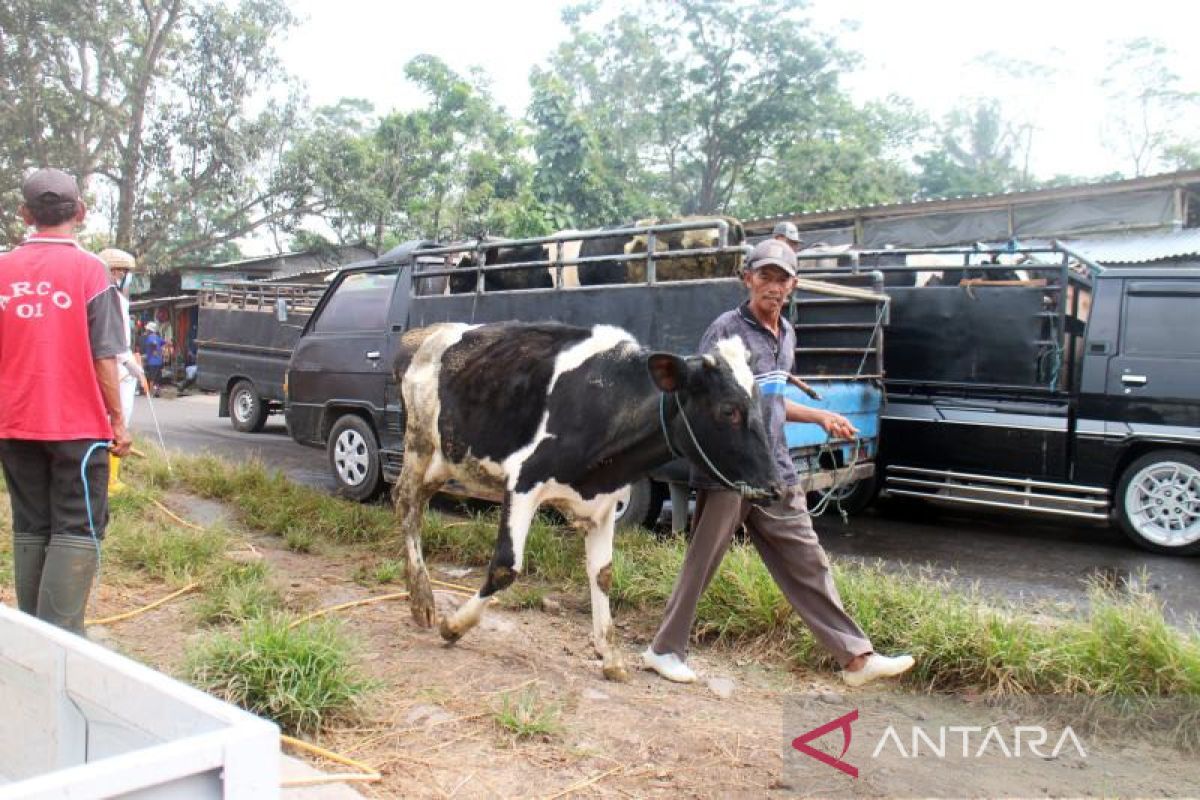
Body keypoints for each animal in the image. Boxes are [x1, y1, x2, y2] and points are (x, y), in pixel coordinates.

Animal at [393, 321, 777, 681]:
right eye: (729, 411)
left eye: (761, 405)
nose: (776, 486)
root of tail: (425, 333)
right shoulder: (524, 481)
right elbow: (505, 567)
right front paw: (455, 626)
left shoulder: (604, 505)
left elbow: (603, 574)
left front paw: (610, 656)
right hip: (419, 443)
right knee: (407, 504)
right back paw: (423, 600)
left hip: (447, 458)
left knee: (416, 501)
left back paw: (417, 596)